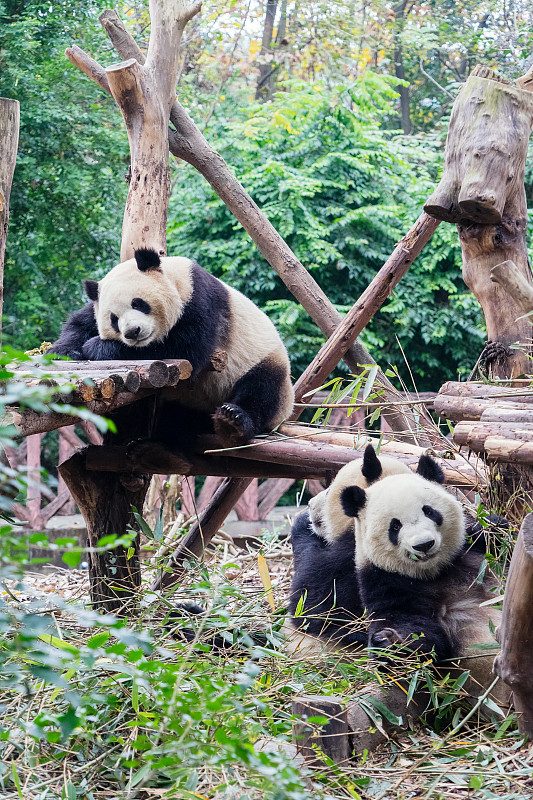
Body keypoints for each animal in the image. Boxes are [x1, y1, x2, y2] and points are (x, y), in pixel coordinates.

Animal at [51, 248, 294, 448]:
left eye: (138, 303)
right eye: (114, 319)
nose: (132, 332)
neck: (179, 279)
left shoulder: (201, 303)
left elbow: (183, 350)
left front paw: (98, 347)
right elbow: (81, 322)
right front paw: (65, 350)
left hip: (264, 363)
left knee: (263, 389)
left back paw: (233, 421)